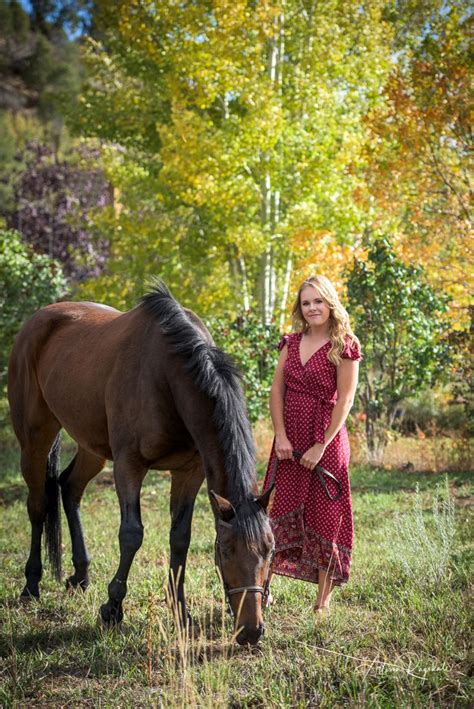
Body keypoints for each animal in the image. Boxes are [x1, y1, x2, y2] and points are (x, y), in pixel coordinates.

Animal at [7, 280, 274, 644]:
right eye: (226, 550)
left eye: (270, 550)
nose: (251, 630)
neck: (167, 377)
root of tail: (37, 320)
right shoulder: (129, 466)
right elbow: (131, 534)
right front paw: (112, 608)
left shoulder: (189, 472)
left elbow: (180, 538)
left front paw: (180, 611)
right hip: (35, 437)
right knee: (37, 506)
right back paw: (31, 584)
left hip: (93, 446)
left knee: (69, 486)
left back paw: (81, 574)